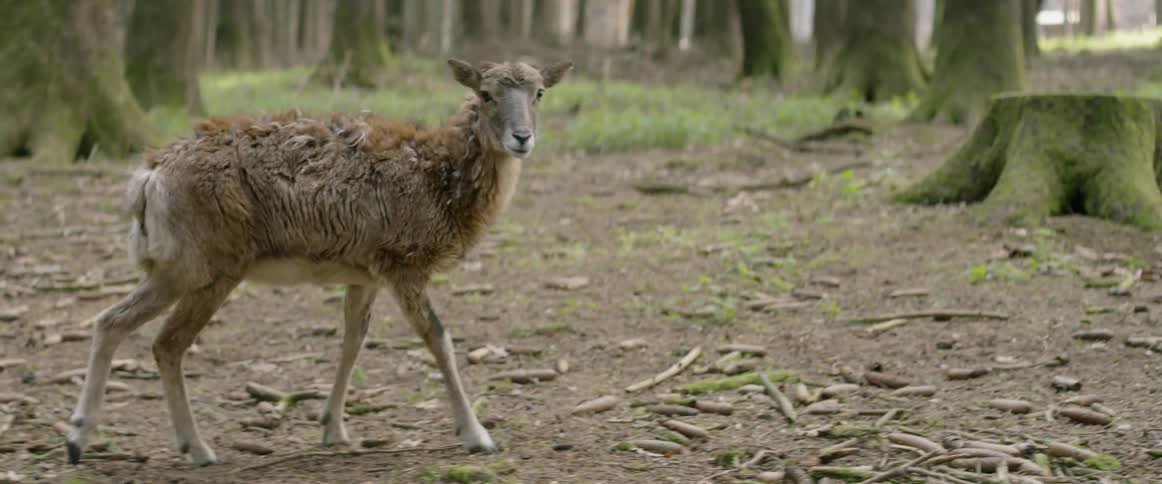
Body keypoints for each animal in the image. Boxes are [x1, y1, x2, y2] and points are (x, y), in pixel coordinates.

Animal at [64, 59, 573, 466]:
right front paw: (478, 436)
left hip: (174, 267)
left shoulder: (365, 271)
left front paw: (333, 428)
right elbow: (439, 339)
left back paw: (78, 440)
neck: (442, 184)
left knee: (110, 320)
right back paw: (198, 448)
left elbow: (352, 339)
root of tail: (146, 180)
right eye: (485, 93)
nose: (522, 137)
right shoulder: (403, 262)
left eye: (539, 92)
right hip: (208, 266)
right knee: (166, 341)